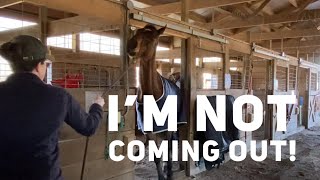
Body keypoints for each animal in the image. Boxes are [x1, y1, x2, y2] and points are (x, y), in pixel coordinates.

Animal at [127, 24, 179, 180]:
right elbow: (157, 156)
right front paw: (162, 175)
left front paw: (169, 173)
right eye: (136, 33)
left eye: (152, 38)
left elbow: (168, 149)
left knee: (169, 147)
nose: (131, 45)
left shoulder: (168, 127)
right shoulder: (149, 129)